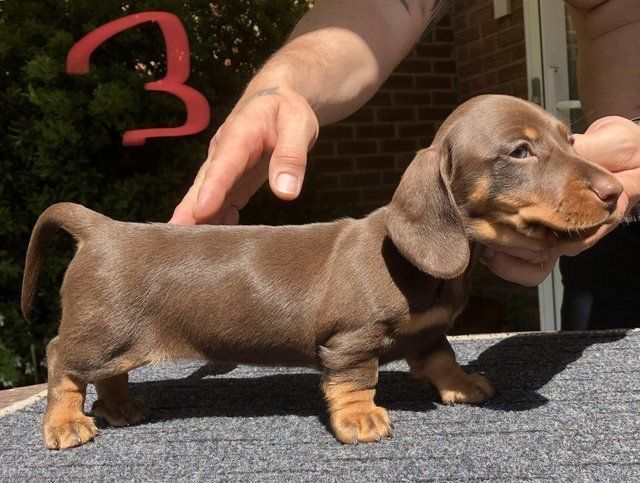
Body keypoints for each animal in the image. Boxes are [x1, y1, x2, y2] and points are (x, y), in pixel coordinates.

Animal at [22, 96, 624, 452]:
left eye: (570, 140)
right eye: (520, 151)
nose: (617, 192)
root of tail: (102, 228)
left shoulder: (429, 331)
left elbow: (442, 358)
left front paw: (462, 385)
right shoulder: (349, 342)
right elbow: (355, 381)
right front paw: (361, 419)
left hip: (117, 342)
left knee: (108, 375)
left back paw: (122, 408)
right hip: (99, 332)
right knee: (62, 363)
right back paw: (66, 424)